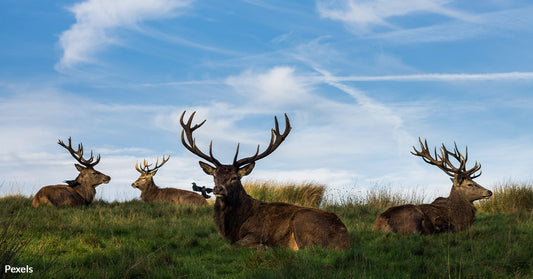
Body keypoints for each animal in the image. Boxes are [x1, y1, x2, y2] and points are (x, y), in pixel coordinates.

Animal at [181, 111, 352, 252]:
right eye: (214, 175)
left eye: (235, 177)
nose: (218, 189)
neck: (232, 225)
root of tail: (346, 241)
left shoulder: (257, 232)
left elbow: (235, 244)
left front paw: (264, 246)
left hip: (303, 220)